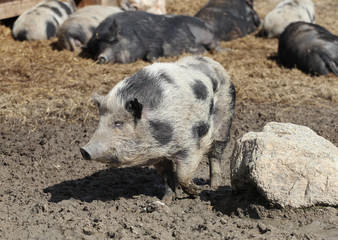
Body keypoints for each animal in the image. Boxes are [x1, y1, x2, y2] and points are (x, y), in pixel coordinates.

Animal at [80, 55, 236, 202]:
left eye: (118, 123)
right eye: (100, 121)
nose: (83, 150)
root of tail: (214, 63)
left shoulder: (190, 144)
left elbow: (182, 175)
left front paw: (196, 192)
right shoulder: (158, 156)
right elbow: (167, 177)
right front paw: (165, 201)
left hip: (224, 119)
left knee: (215, 154)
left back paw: (214, 186)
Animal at [85, 10, 219, 63]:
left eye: (113, 41)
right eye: (97, 47)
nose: (101, 57)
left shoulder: (155, 43)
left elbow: (151, 55)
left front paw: (158, 60)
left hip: (207, 36)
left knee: (215, 43)